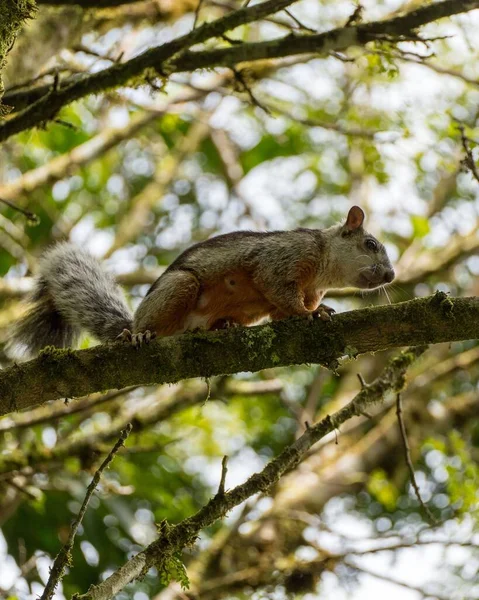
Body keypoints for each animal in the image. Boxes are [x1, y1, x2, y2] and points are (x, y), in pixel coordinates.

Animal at [7, 206, 396, 358]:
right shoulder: (281, 259)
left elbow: (279, 313)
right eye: (370, 244)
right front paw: (310, 314)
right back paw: (139, 335)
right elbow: (278, 290)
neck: (323, 268)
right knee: (151, 325)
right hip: (179, 288)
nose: (391, 275)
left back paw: (224, 326)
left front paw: (317, 309)